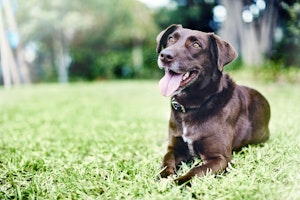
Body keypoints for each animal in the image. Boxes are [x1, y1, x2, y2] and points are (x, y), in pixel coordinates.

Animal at [156, 24, 270, 185]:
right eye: (171, 38)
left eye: (196, 45)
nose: (165, 55)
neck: (193, 106)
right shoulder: (173, 148)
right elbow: (166, 161)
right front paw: (164, 177)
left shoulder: (220, 158)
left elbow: (196, 171)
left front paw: (177, 183)